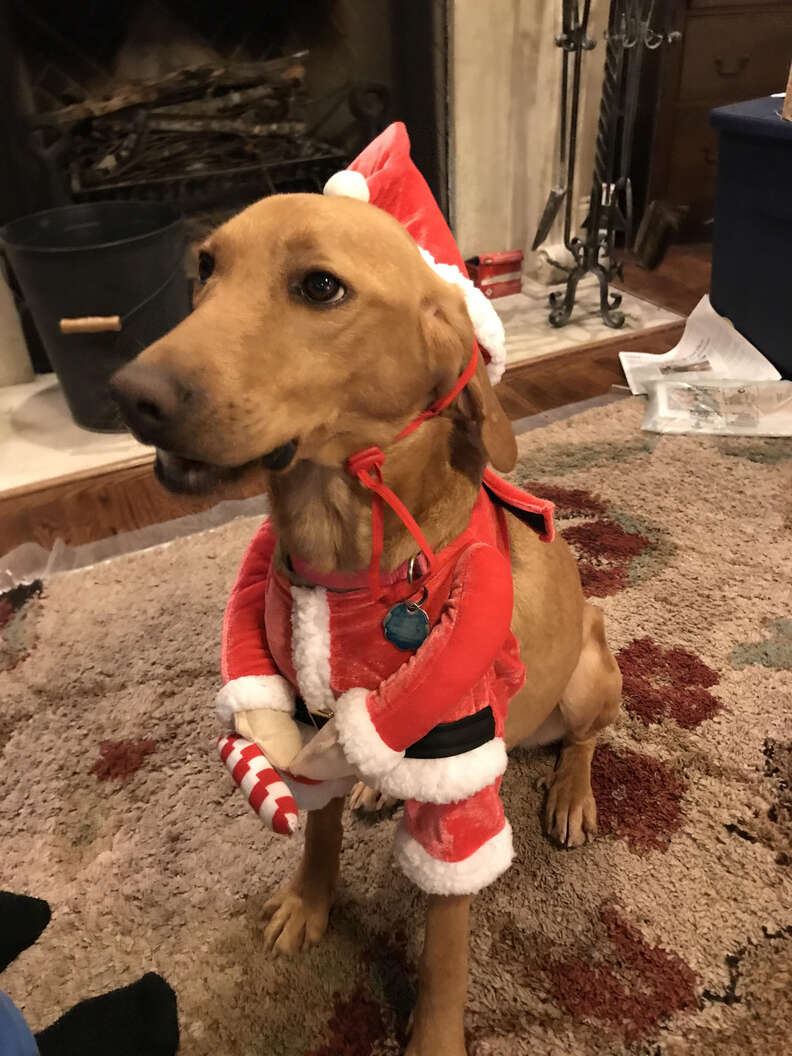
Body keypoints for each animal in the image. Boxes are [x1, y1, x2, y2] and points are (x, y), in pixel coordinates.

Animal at [108, 142, 625, 1056]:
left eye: (320, 287)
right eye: (205, 266)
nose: (131, 392)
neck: (343, 551)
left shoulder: (458, 757)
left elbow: (446, 943)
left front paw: (434, 1036)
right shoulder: (304, 707)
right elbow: (317, 832)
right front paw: (310, 903)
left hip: (590, 677)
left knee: (586, 739)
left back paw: (570, 794)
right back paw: (379, 787)